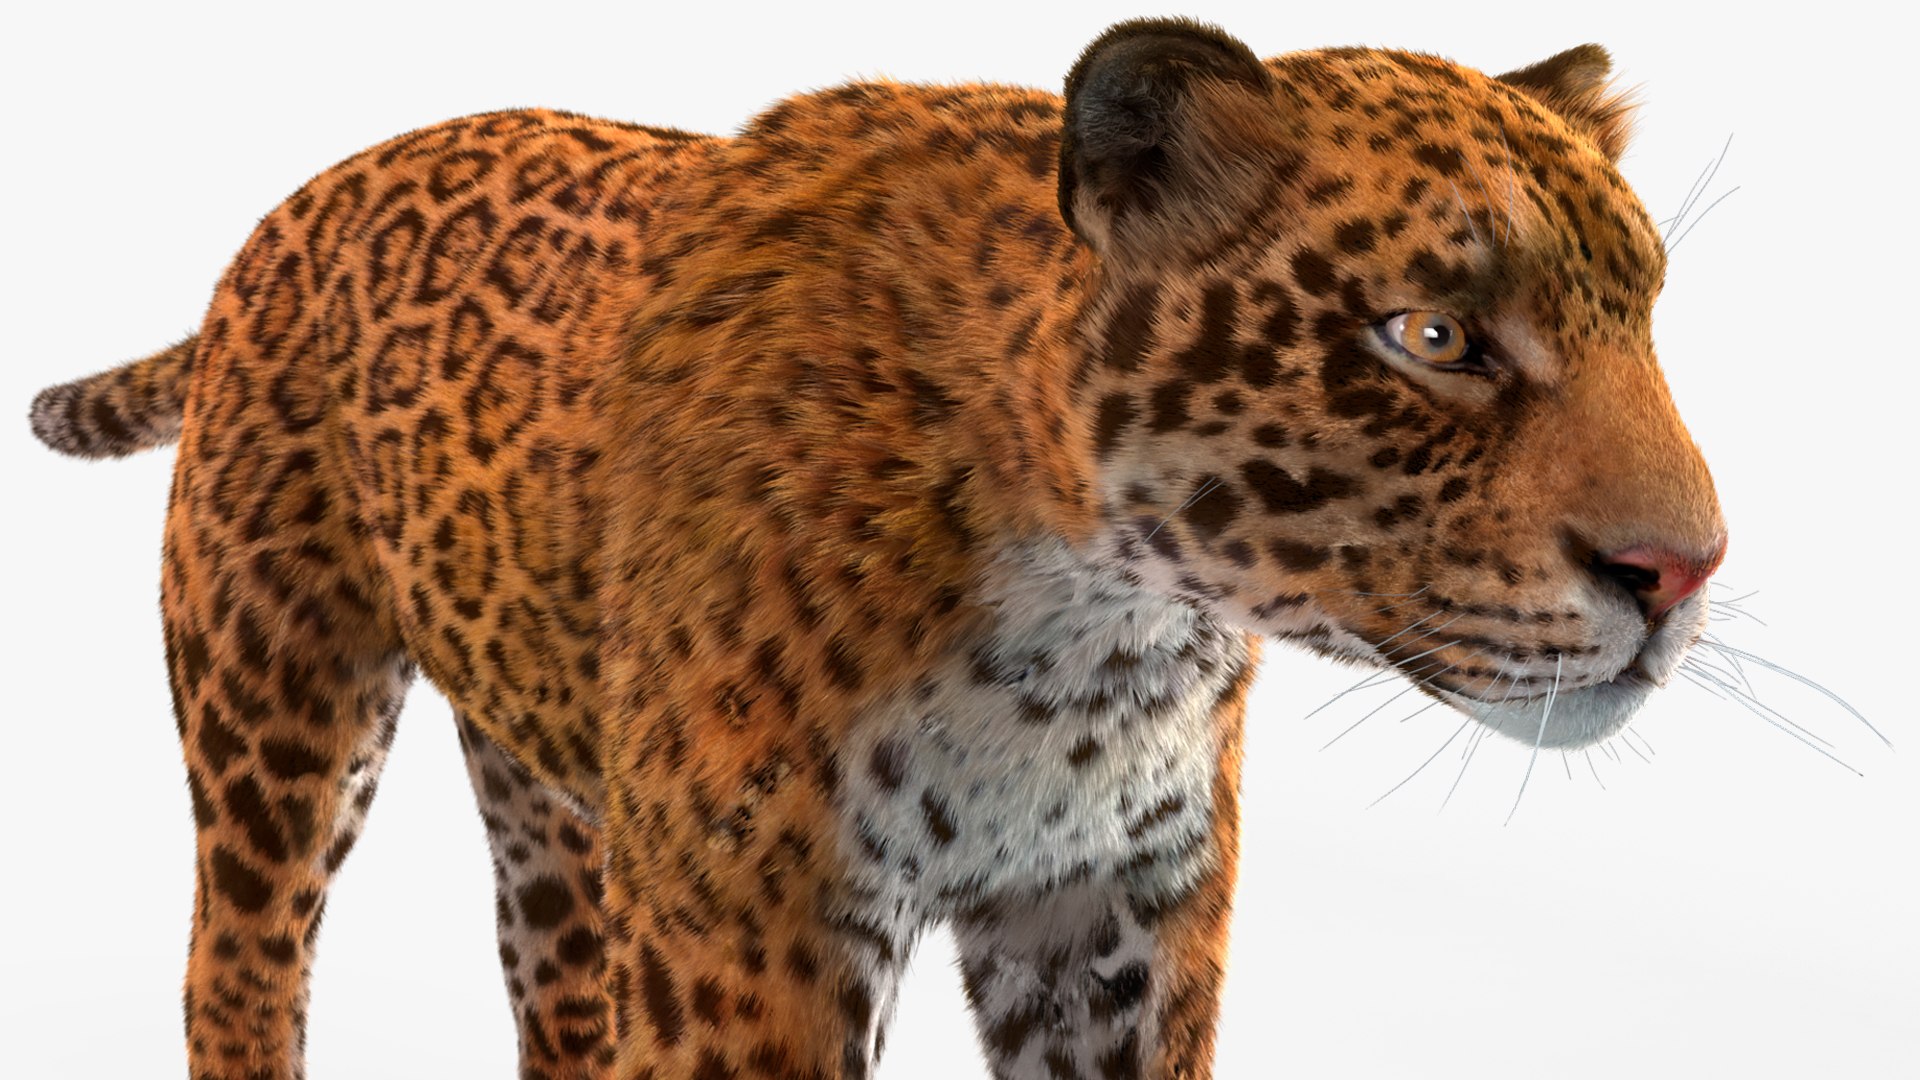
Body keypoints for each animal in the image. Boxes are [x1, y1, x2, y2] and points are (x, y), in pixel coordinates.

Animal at [26, 16, 1726, 1080]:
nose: (1685, 572)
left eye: (1645, 315)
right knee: (238, 963)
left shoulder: (1117, 918)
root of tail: (292, 211)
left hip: (556, 789)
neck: (1095, 637)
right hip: (279, 705)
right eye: (1431, 336)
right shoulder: (752, 931)